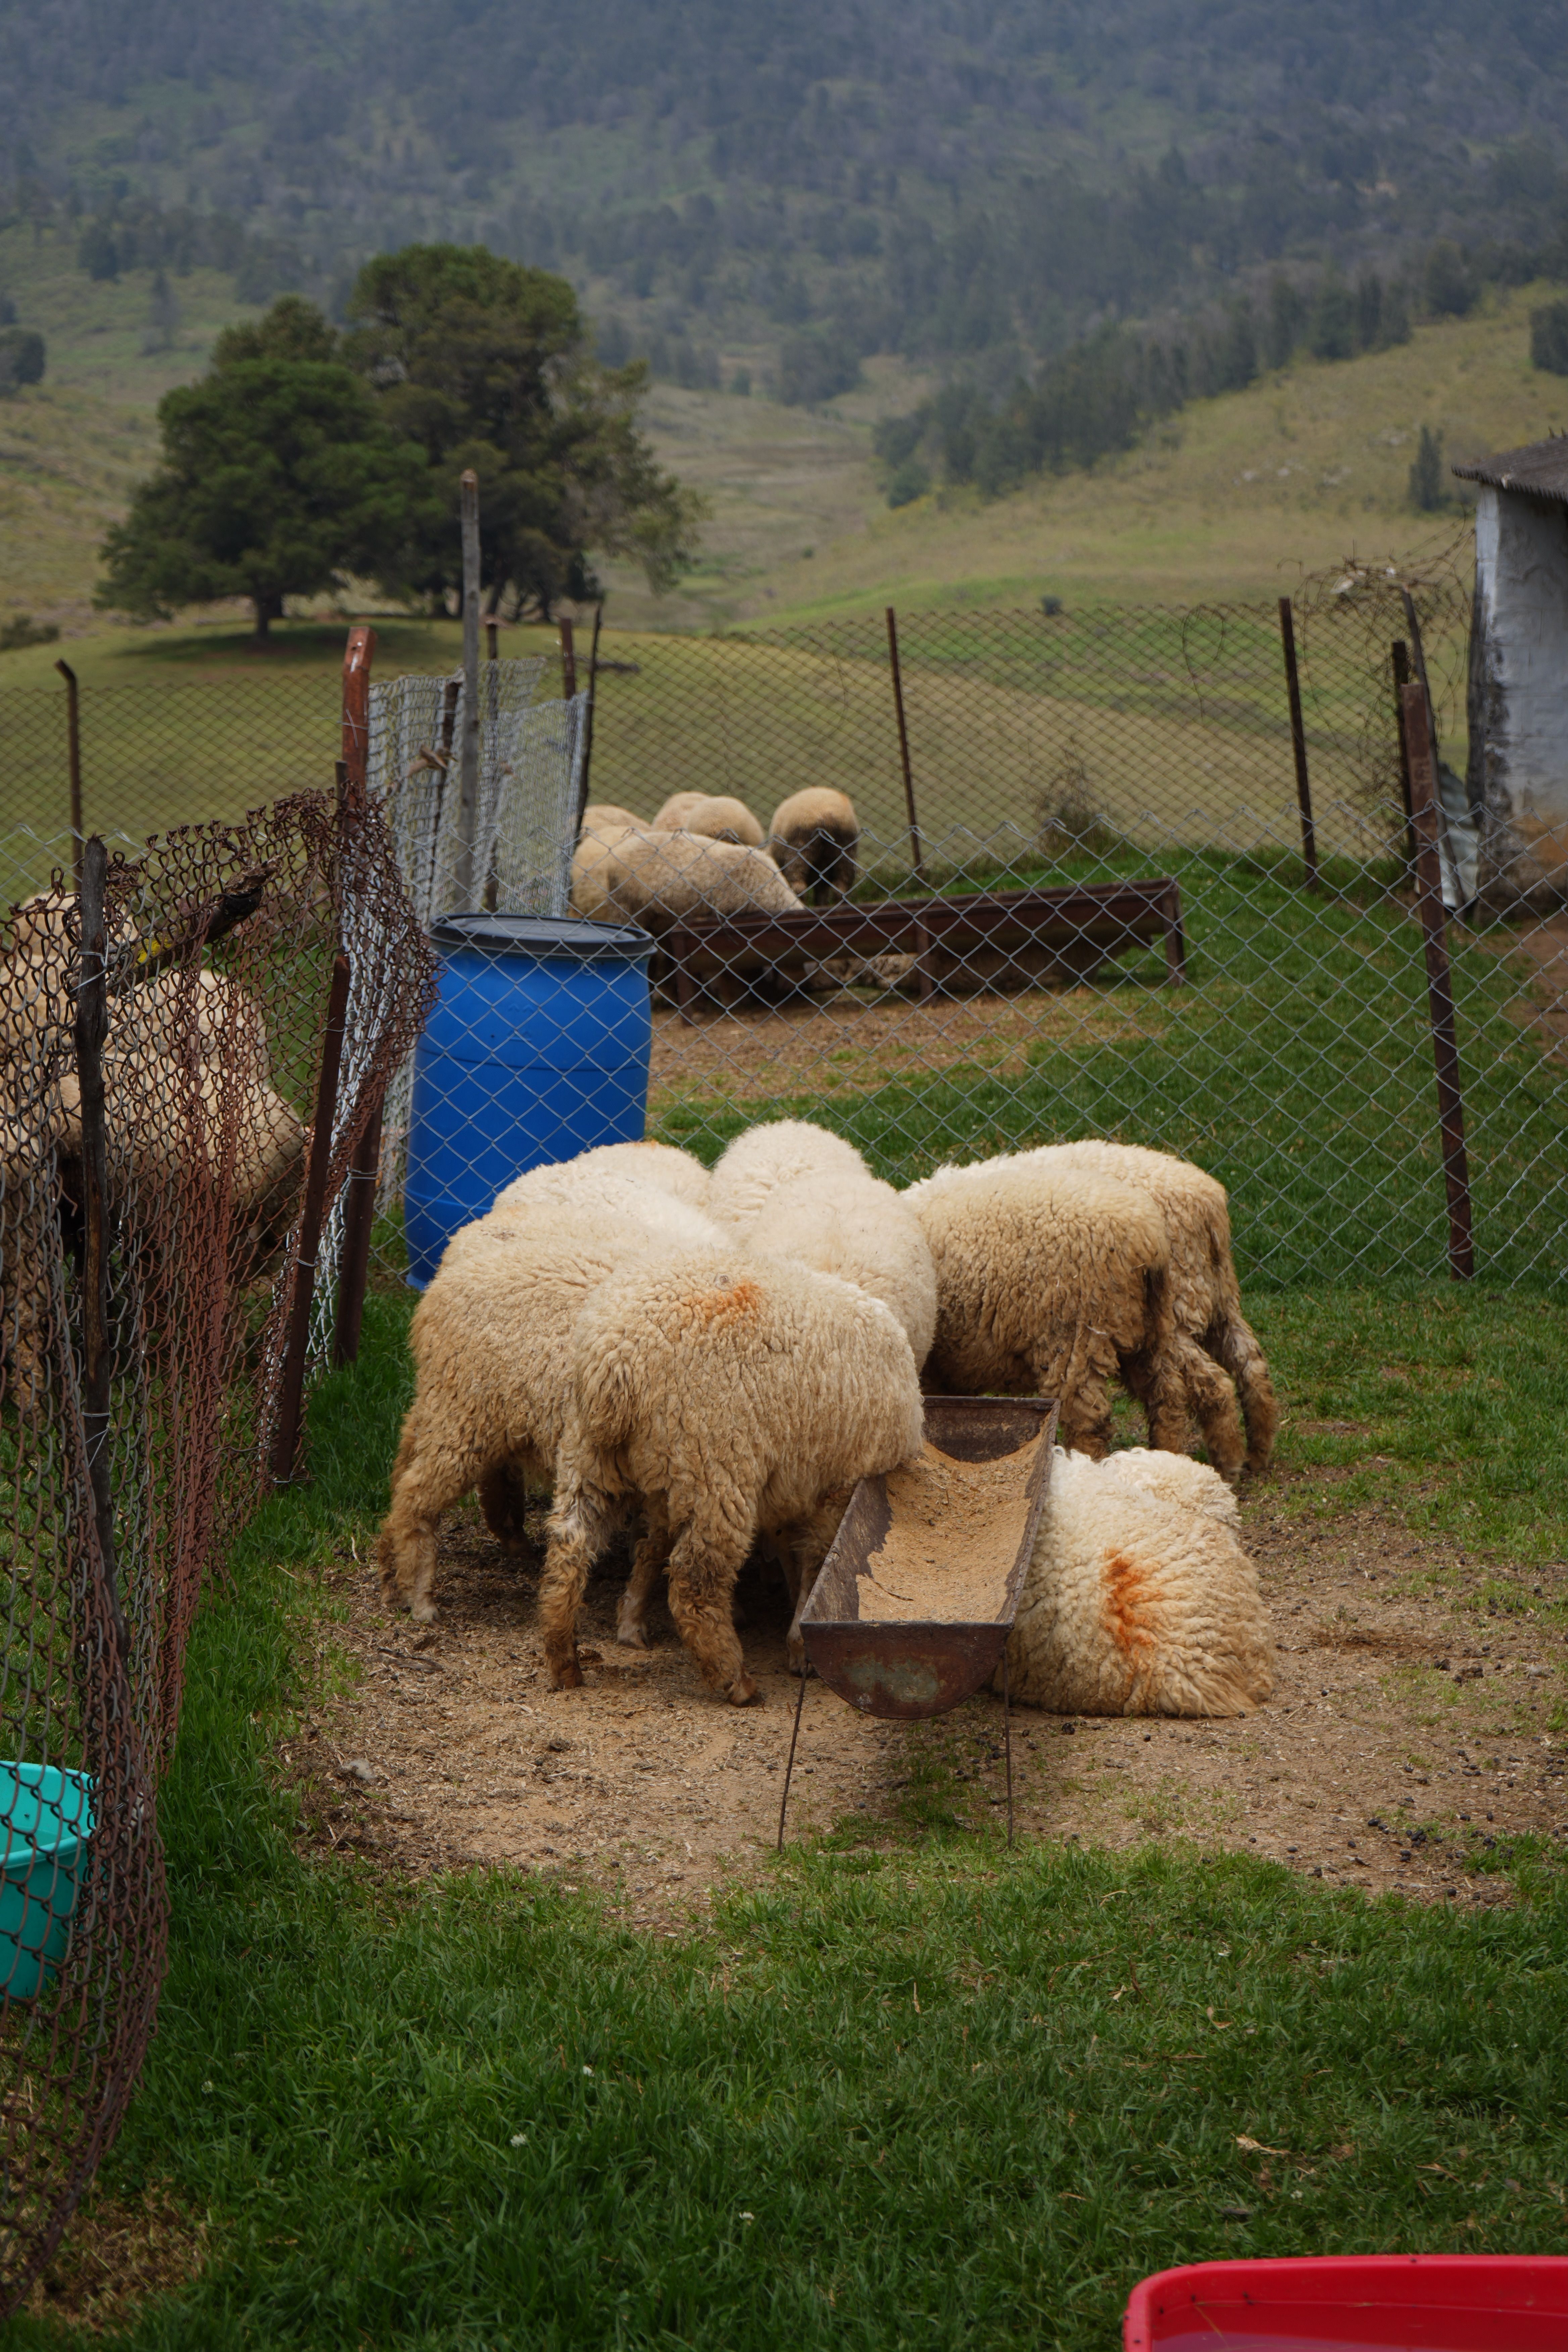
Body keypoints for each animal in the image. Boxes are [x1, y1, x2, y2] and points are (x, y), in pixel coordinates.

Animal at [376, 1178, 728, 1623]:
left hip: (453, 1401)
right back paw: (421, 1595)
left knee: (409, 1459)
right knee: (418, 1493)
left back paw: (394, 1571)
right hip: (466, 1414)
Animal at [540, 1246, 926, 1702]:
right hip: (715, 1465)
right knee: (693, 1580)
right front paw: (801, 1646)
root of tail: (616, 1356)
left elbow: (655, 1543)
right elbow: (819, 1565)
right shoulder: (839, 1486)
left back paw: (564, 1659)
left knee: (570, 1546)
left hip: (592, 1455)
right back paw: (734, 1679)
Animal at [767, 787, 859, 902]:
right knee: (841, 888)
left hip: (800, 849)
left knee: (799, 887)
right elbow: (822, 893)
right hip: (846, 851)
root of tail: (827, 815)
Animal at [903, 1156, 1189, 1461]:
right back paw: (1168, 1457)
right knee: (1167, 1399)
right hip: (1153, 1327)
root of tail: (1150, 1239)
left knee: (1088, 1423)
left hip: (1075, 1337)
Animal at [1004, 1142, 1277, 1479]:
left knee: (1208, 1382)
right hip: (1218, 1297)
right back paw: (1257, 1453)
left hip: (1175, 1306)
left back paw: (1222, 1463)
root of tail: (1209, 1201)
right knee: (1251, 1363)